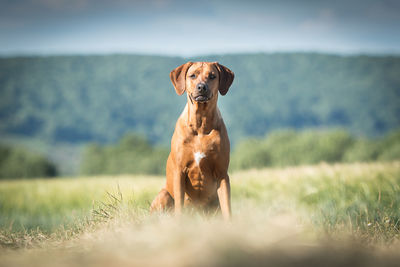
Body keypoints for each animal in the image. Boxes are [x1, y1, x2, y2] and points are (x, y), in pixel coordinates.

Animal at [150, 61, 234, 221]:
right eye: (192, 75)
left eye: (212, 76)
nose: (202, 87)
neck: (200, 125)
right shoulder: (179, 171)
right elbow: (179, 206)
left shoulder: (222, 174)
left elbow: (227, 208)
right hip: (164, 195)